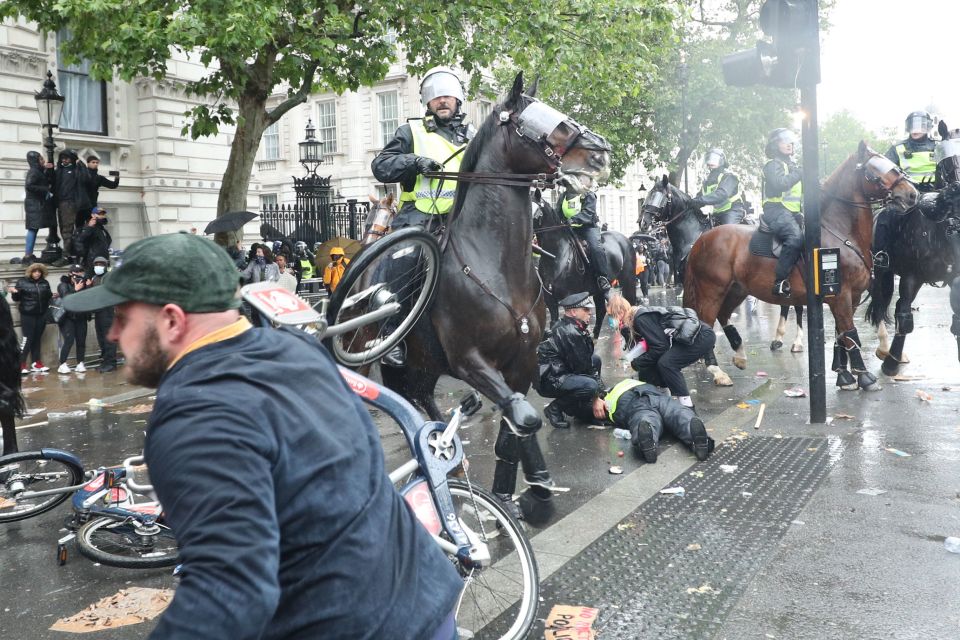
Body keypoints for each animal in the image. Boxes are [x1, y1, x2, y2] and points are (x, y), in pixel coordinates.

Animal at [380, 75, 612, 512]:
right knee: (410, 401)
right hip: (402, 365)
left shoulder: (521, 362)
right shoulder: (470, 360)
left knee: (423, 399)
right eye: (544, 121)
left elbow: (516, 426)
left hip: (425, 367)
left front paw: (524, 485)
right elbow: (525, 417)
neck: (494, 264)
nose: (601, 154)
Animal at [532, 194, 636, 338]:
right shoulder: (550, 299)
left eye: (537, 212)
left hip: (628, 282)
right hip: (598, 290)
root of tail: (625, 239)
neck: (556, 256)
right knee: (601, 310)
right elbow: (554, 324)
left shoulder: (569, 296)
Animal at [684, 141, 916, 390]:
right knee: (707, 323)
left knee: (724, 315)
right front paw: (864, 377)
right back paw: (717, 371)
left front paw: (843, 375)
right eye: (874, 170)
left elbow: (841, 335)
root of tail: (701, 239)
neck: (840, 232)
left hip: (737, 290)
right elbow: (850, 333)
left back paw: (739, 354)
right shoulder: (841, 296)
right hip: (711, 290)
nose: (912, 194)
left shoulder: (850, 297)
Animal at [868, 120, 960, 372]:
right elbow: (904, 316)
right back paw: (884, 349)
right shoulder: (911, 276)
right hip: (880, 271)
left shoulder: (954, 277)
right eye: (948, 162)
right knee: (882, 305)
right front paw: (891, 363)